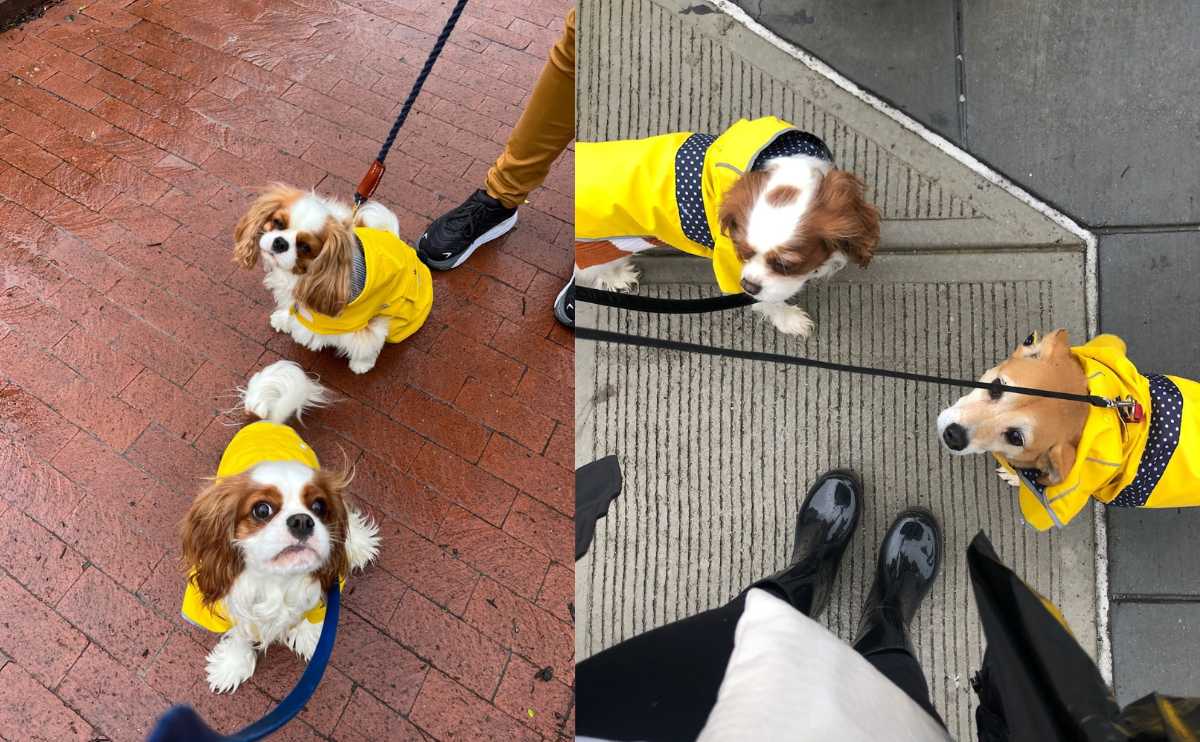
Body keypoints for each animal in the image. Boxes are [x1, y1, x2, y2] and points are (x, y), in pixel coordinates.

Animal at [231, 182, 434, 372]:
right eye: (278, 223)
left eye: (305, 247)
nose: (280, 243)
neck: (302, 274)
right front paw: (284, 319)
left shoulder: (363, 324)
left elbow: (366, 343)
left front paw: (362, 364)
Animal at [571, 114, 873, 331]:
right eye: (743, 252)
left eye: (785, 264)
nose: (749, 286)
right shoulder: (730, 267)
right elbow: (770, 300)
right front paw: (788, 318)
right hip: (602, 246)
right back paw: (617, 276)